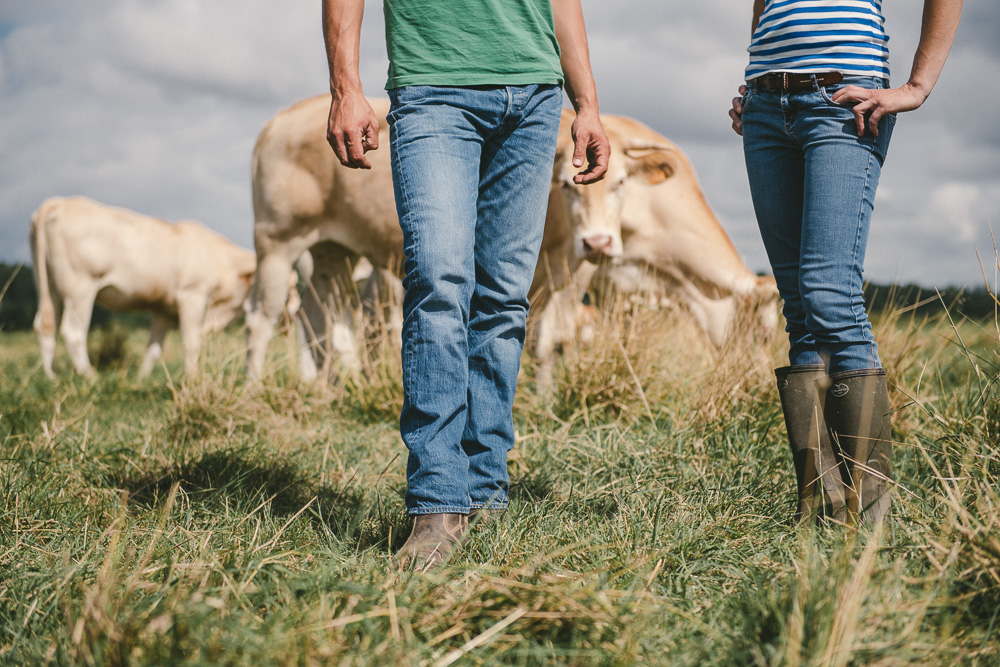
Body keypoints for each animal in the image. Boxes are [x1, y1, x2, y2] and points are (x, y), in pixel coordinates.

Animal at [30, 196, 286, 378]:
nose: (293, 312)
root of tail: (58, 202)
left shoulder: (163, 309)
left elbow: (153, 349)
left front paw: (141, 379)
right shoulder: (192, 298)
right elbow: (191, 342)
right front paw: (193, 377)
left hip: (49, 287)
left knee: (45, 325)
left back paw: (51, 377)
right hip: (80, 288)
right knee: (72, 331)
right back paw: (89, 375)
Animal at [244, 97, 672, 384]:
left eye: (621, 183)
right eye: (566, 186)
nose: (597, 243)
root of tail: (283, 118)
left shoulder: (550, 282)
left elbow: (542, 340)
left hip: (332, 251)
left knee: (317, 315)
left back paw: (324, 390)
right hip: (277, 241)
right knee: (263, 316)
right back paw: (254, 386)